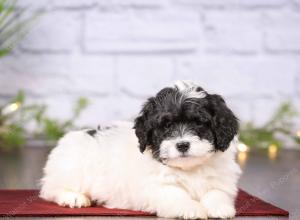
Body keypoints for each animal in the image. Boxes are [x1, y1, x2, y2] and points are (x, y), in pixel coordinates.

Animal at [39, 80, 241, 218]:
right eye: (166, 125)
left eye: (199, 123)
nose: (182, 145)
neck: (189, 169)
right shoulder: (156, 187)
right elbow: (175, 194)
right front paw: (191, 208)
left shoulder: (221, 179)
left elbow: (217, 192)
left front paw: (219, 207)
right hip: (72, 169)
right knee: (51, 189)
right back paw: (73, 197)